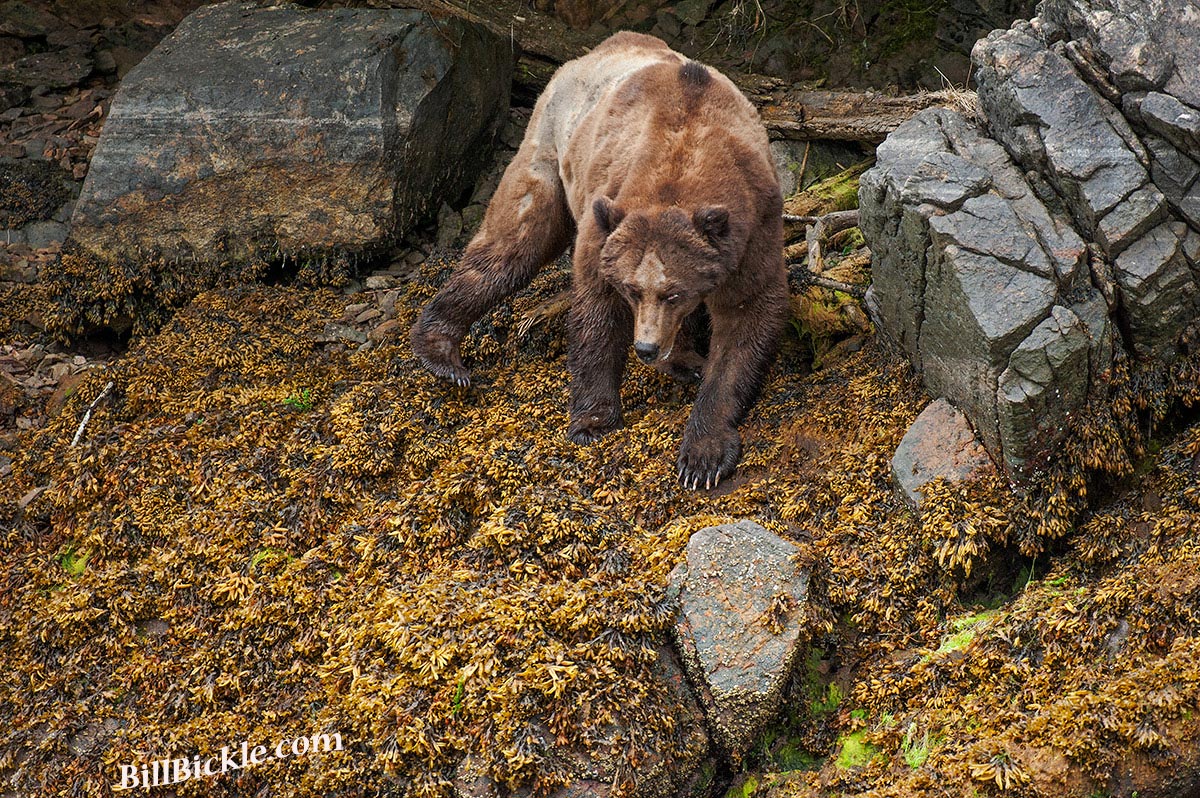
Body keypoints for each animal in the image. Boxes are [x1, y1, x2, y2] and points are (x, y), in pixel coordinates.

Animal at [410, 31, 789, 490]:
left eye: (674, 293)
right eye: (631, 288)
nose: (645, 347)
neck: (687, 159)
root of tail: (595, 50)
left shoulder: (753, 228)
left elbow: (745, 321)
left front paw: (703, 456)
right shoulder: (607, 216)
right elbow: (597, 310)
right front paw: (593, 422)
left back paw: (683, 360)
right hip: (549, 147)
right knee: (515, 241)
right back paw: (443, 353)